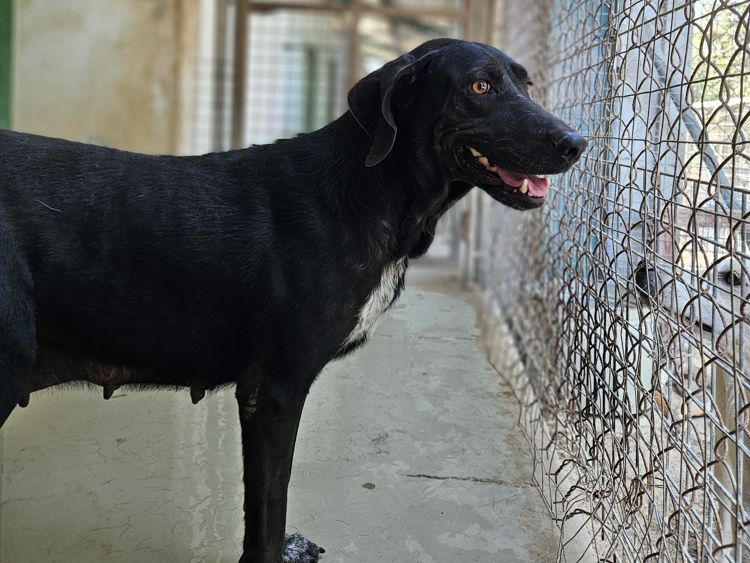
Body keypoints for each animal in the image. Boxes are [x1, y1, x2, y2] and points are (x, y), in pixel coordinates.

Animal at [0, 37, 588, 560]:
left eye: (526, 85)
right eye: (480, 86)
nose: (578, 142)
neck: (372, 193)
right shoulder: (274, 390)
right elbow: (269, 504)